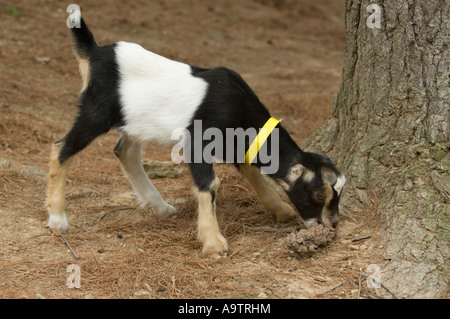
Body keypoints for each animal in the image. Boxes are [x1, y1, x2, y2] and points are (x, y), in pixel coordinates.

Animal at [46, 10, 344, 258]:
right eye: (319, 195)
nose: (331, 225)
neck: (239, 107)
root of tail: (94, 52)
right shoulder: (198, 140)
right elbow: (209, 183)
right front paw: (214, 243)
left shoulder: (234, 143)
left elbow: (252, 170)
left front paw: (280, 210)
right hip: (97, 111)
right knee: (61, 147)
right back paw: (58, 218)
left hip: (135, 121)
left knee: (124, 152)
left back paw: (161, 207)